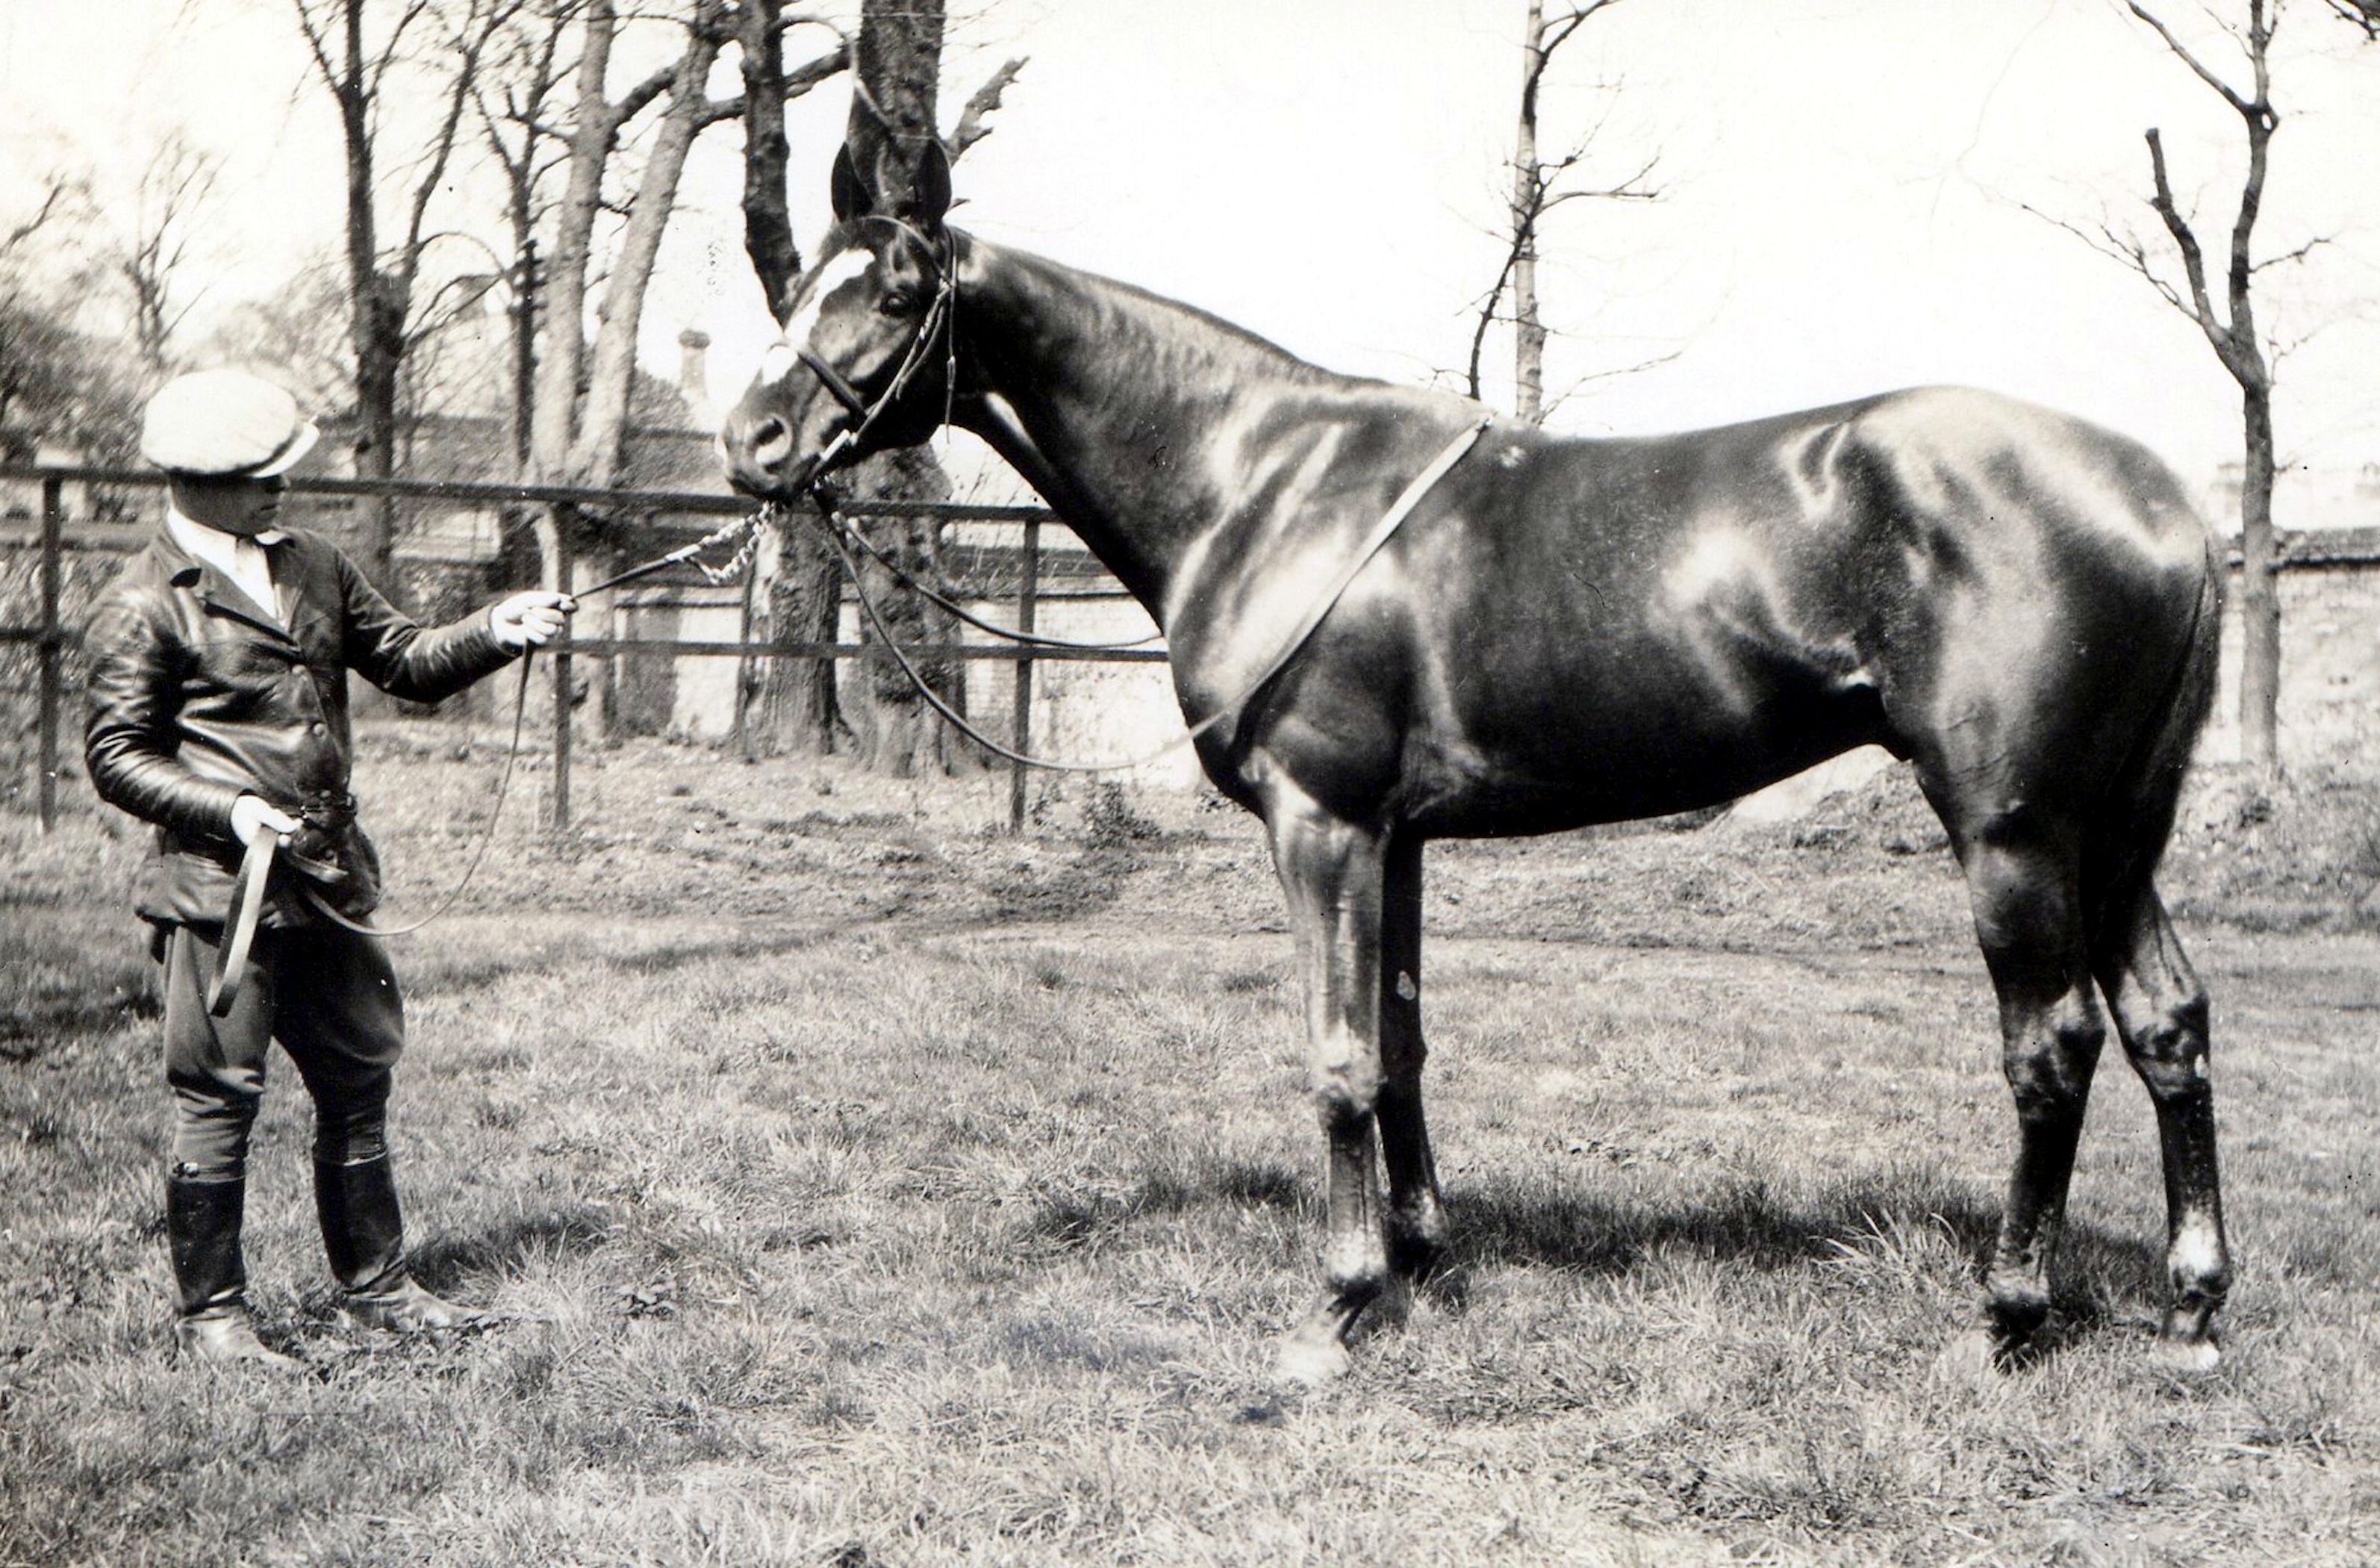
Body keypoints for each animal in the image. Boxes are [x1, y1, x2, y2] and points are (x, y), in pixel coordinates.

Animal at [718, 137, 2227, 1390]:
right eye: (802, 284)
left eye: (897, 291)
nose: (754, 444)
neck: (1261, 484)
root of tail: (2169, 503)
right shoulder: (1396, 838)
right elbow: (1400, 1047)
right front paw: (1418, 1263)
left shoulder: (1320, 823)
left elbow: (1336, 1056)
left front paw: (1335, 1310)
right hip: (2110, 834)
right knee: (2166, 1024)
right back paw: (2194, 1313)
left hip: (2014, 830)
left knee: (2052, 1046)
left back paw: (2008, 1314)